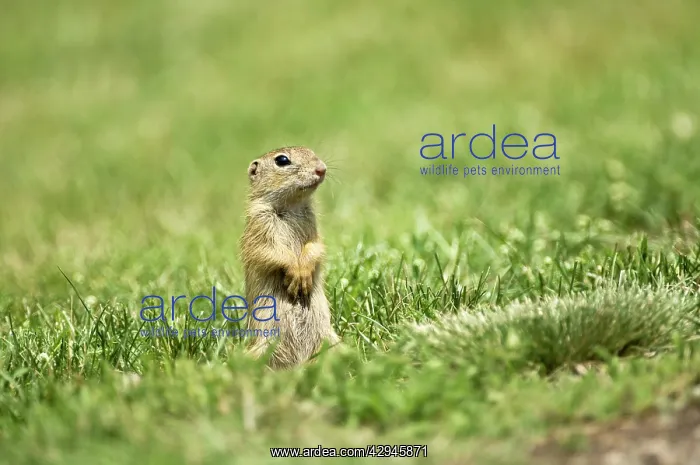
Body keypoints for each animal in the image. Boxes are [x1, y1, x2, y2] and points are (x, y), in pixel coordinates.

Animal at [239, 146, 340, 369]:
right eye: (282, 160)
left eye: (311, 151)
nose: (322, 169)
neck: (292, 206)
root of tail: (298, 364)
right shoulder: (260, 226)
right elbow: (271, 252)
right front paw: (296, 275)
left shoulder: (314, 230)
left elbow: (315, 247)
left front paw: (304, 274)